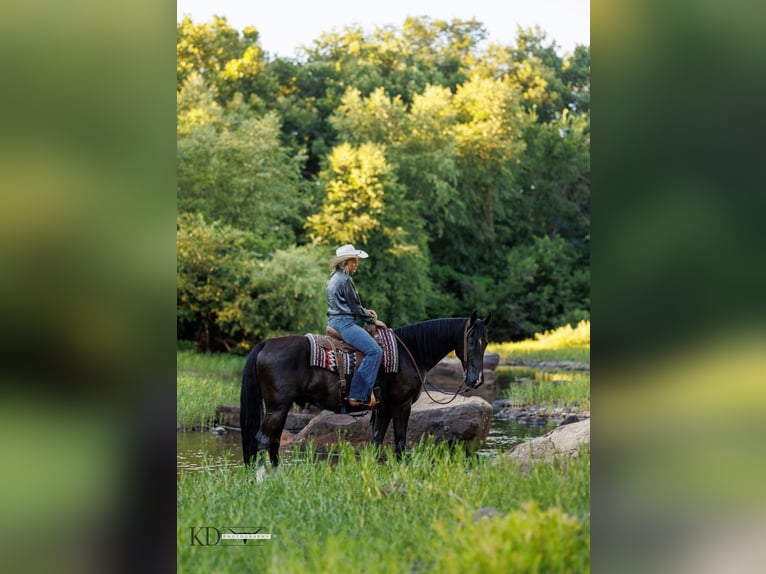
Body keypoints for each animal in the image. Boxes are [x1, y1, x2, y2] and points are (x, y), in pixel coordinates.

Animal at [240, 311, 492, 466]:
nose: (476, 380)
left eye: (486, 342)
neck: (409, 352)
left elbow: (377, 442)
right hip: (277, 407)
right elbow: (400, 443)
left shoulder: (384, 408)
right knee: (263, 440)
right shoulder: (402, 405)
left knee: (272, 441)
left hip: (279, 408)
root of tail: (266, 343)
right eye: (471, 342)